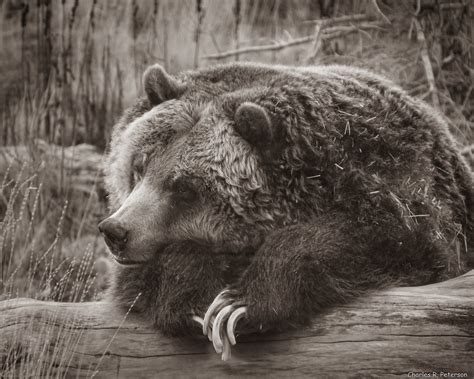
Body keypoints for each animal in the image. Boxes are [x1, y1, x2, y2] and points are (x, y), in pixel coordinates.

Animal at [98, 61, 472, 360]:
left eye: (185, 188)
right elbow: (141, 277)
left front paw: (239, 304)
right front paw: (193, 295)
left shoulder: (398, 189)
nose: (116, 231)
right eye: (140, 166)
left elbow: (389, 242)